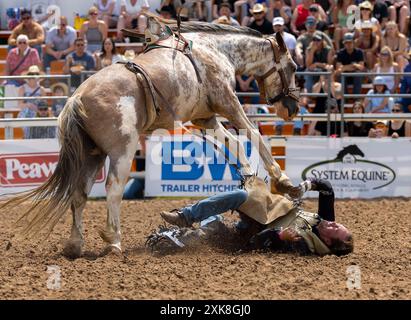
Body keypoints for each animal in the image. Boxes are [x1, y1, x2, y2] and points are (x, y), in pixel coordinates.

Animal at [1, 16, 300, 258]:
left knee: (79, 193)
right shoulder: (227, 102)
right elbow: (252, 134)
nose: (292, 108)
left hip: (91, 153)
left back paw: (75, 245)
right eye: (294, 67)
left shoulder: (204, 118)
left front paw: (248, 177)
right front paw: (283, 181)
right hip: (121, 150)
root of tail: (76, 99)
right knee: (113, 188)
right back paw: (113, 241)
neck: (213, 51)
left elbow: (233, 142)